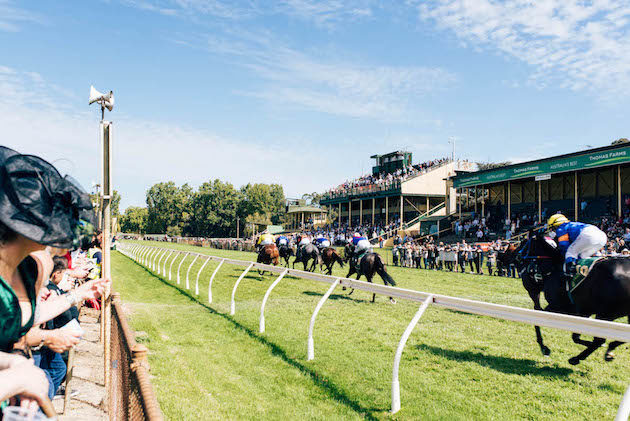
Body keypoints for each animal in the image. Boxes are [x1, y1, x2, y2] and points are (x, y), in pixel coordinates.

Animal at [520, 230, 630, 364]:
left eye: (525, 242)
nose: (517, 256)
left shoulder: (559, 307)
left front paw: (544, 348)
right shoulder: (582, 311)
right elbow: (576, 336)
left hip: (605, 314)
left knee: (599, 340)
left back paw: (577, 358)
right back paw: (607, 350)